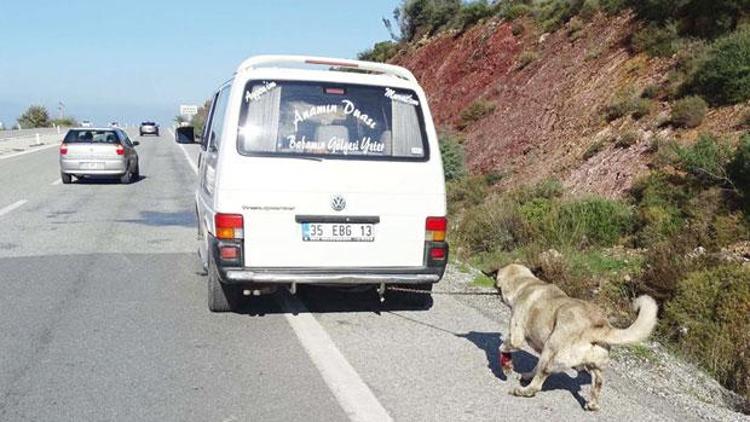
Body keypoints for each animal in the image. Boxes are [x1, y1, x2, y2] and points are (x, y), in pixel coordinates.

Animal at [500, 266, 656, 410]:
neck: (526, 283)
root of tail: (596, 328)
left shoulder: (516, 336)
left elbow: (506, 346)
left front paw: (505, 360)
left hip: (550, 352)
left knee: (539, 380)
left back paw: (523, 390)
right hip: (592, 364)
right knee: (598, 381)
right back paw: (592, 404)